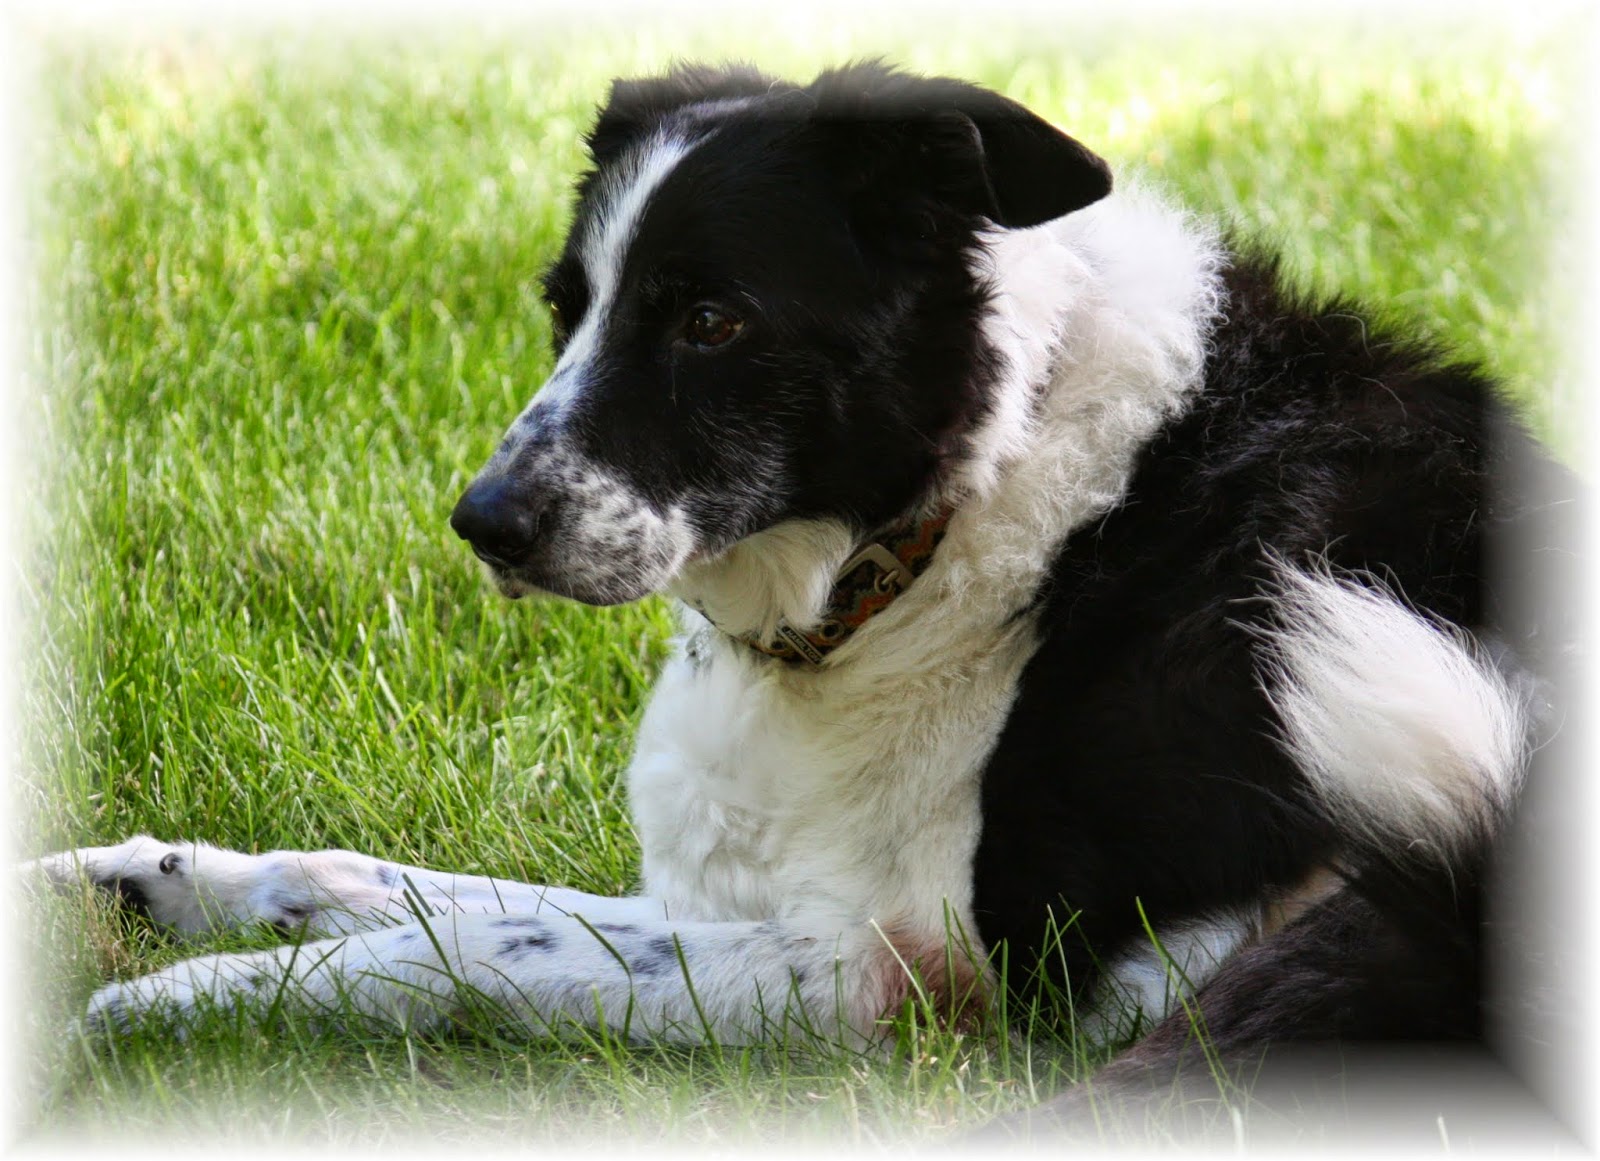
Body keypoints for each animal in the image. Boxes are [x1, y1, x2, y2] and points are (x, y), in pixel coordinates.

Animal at [29, 61, 1580, 1132]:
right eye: (568, 306)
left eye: (713, 320)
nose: (482, 526)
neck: (944, 527)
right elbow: (388, 885)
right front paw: (158, 882)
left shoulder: (898, 972)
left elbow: (472, 947)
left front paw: (197, 1001)